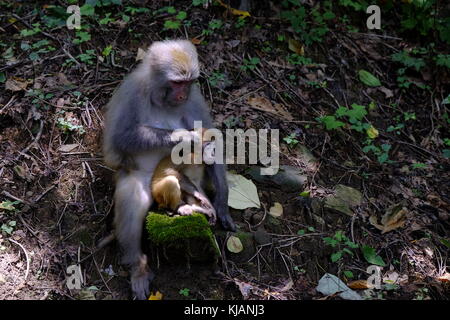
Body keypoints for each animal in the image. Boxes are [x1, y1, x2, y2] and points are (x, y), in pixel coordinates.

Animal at [102, 40, 236, 300]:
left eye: (188, 82)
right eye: (176, 83)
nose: (182, 94)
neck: (159, 98)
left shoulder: (194, 99)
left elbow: (212, 141)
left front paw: (222, 202)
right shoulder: (132, 93)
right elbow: (120, 139)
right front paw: (185, 138)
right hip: (150, 183)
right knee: (135, 195)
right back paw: (138, 266)